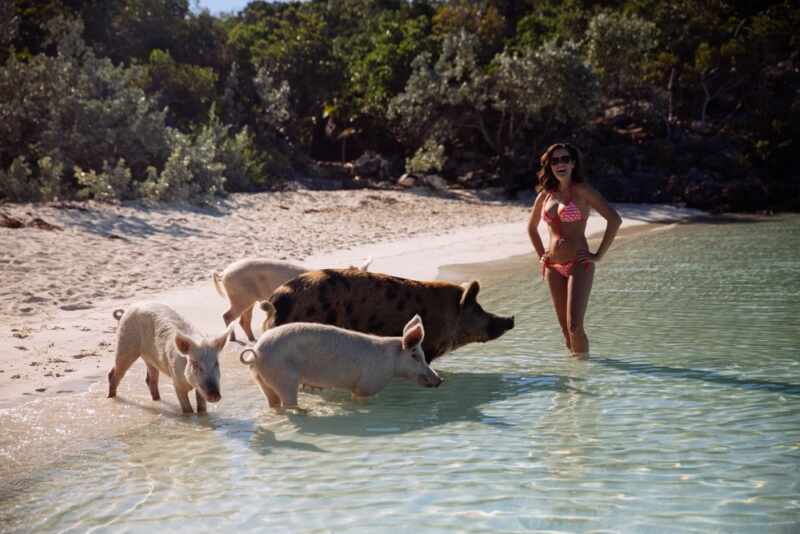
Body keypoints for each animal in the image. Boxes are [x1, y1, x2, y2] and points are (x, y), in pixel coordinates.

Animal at [241, 306, 440, 410]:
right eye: (415, 355)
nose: (440, 380)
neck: (391, 363)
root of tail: (257, 353)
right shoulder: (367, 385)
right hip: (284, 377)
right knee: (288, 404)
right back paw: (306, 412)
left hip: (261, 379)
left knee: (273, 403)